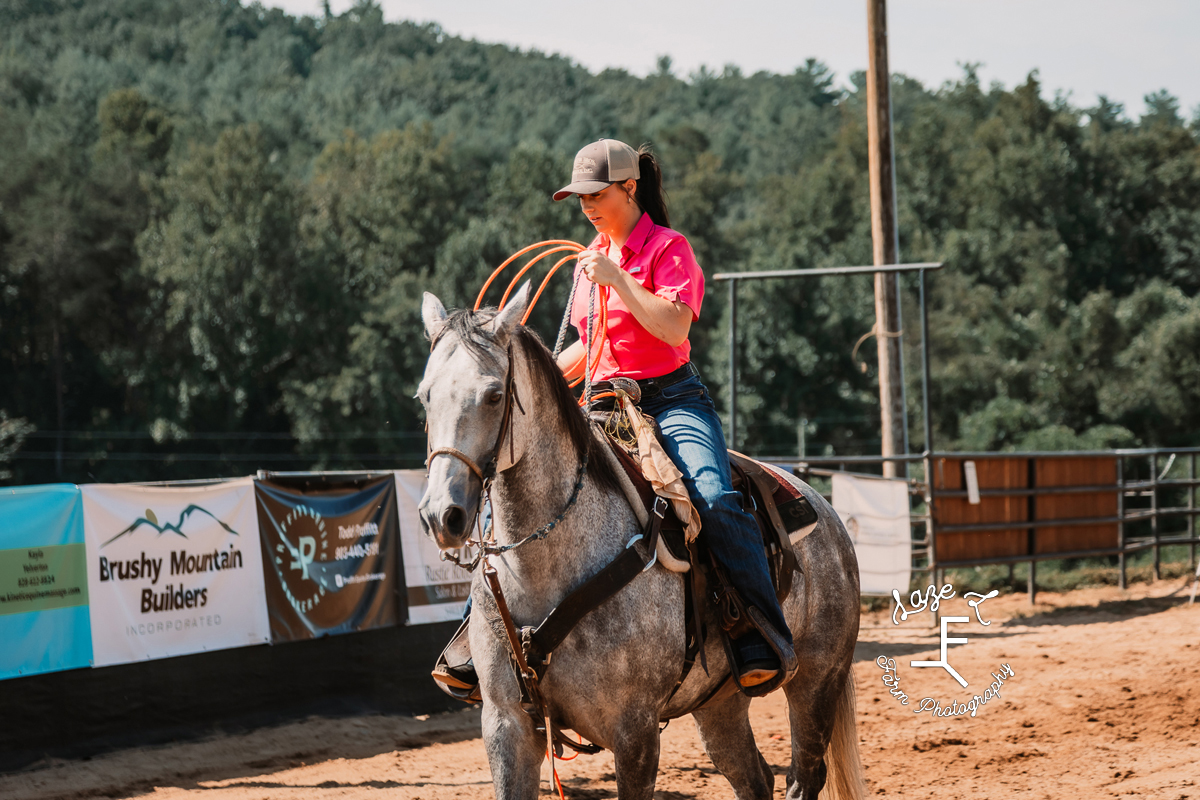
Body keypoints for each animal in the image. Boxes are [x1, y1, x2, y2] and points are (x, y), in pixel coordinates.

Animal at [420, 284, 864, 796]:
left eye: (494, 395)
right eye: (425, 397)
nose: (442, 515)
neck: (546, 571)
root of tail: (824, 510)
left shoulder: (634, 730)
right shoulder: (506, 724)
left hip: (817, 681)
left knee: (803, 776)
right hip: (719, 703)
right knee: (754, 778)